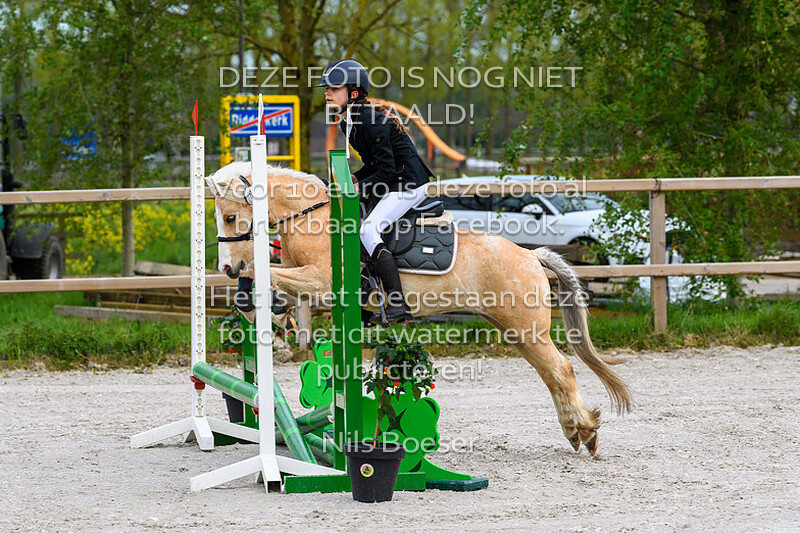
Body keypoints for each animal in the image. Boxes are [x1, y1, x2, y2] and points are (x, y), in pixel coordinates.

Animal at [206, 161, 631, 455]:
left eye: (230, 216)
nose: (227, 268)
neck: (311, 218)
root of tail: (530, 256)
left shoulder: (321, 281)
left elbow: (267, 276)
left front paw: (268, 315)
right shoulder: (305, 280)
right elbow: (272, 285)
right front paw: (276, 320)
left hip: (526, 328)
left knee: (561, 370)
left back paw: (585, 432)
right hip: (515, 329)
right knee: (551, 374)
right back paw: (576, 432)